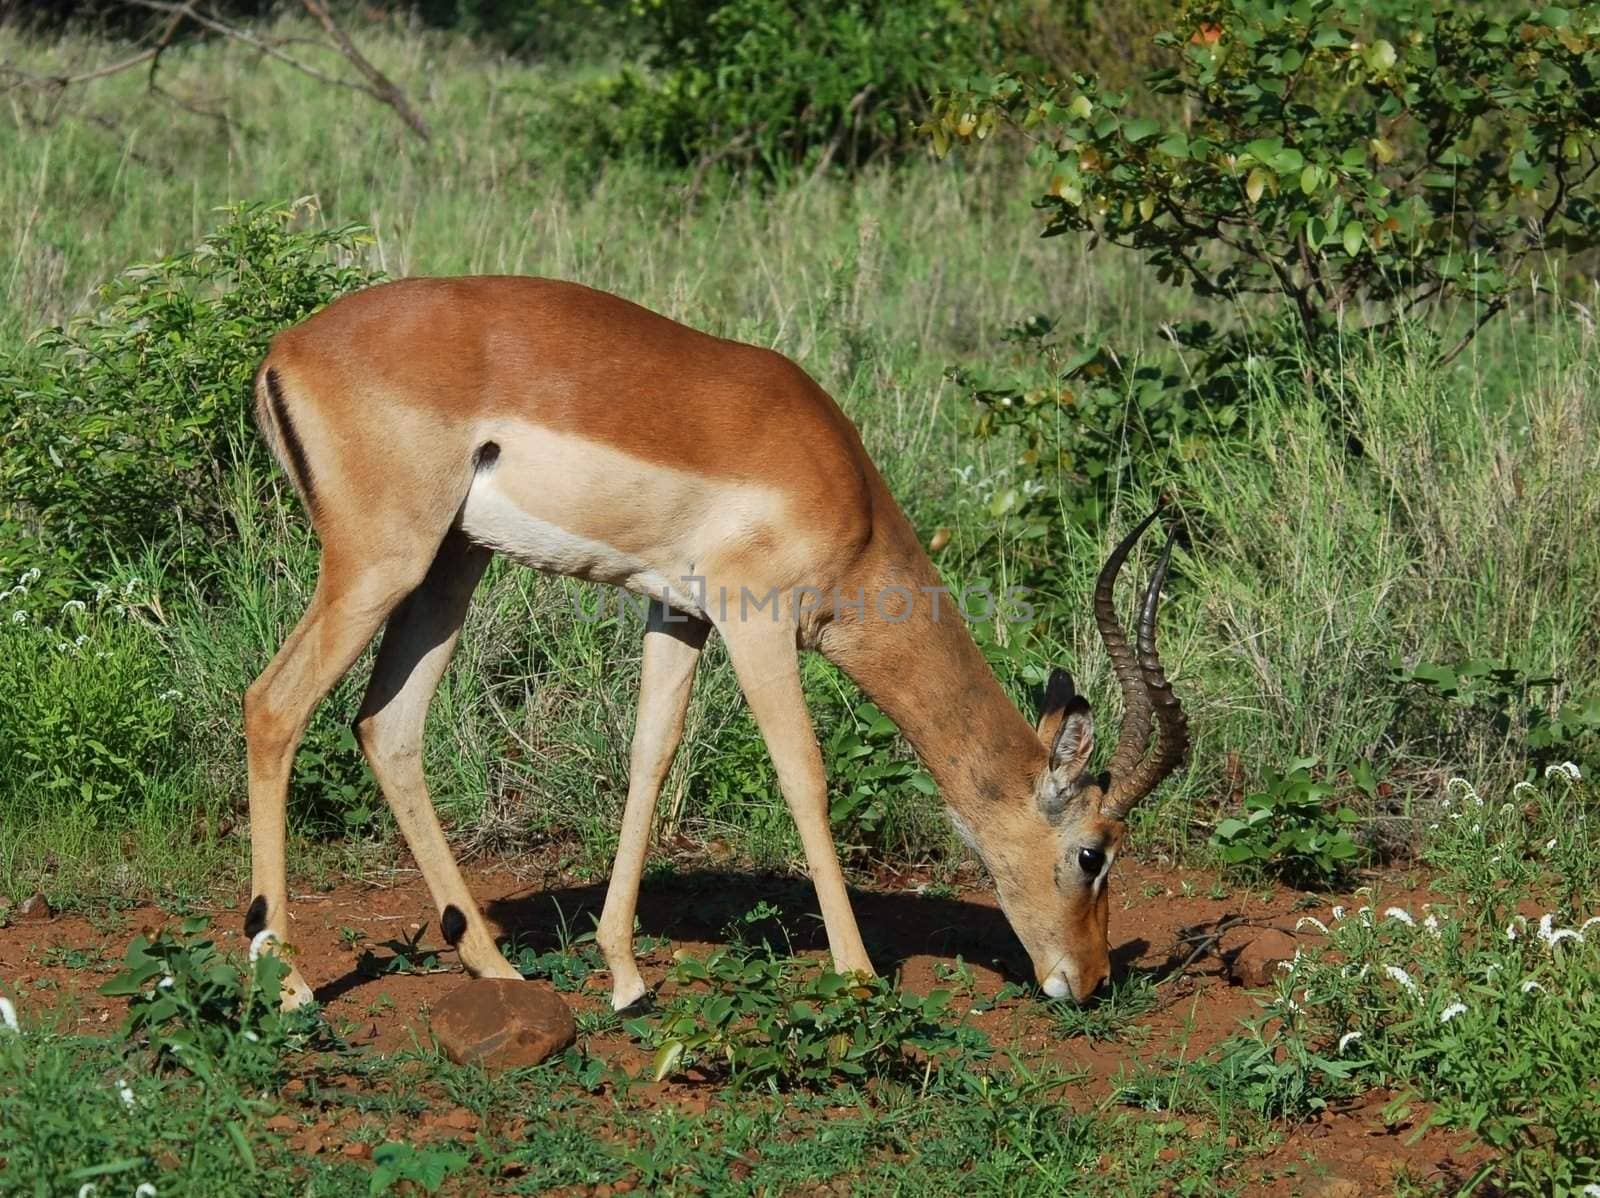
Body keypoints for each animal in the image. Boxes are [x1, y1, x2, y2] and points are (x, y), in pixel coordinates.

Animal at [240, 278, 1190, 1010]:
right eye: (1093, 853)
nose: (1089, 980)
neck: (844, 490)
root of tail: (286, 349)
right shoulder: (757, 618)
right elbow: (804, 774)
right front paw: (857, 976)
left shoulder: (679, 615)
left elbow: (651, 757)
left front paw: (624, 976)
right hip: (382, 564)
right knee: (274, 705)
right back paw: (287, 984)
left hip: (450, 568)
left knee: (386, 726)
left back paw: (495, 965)